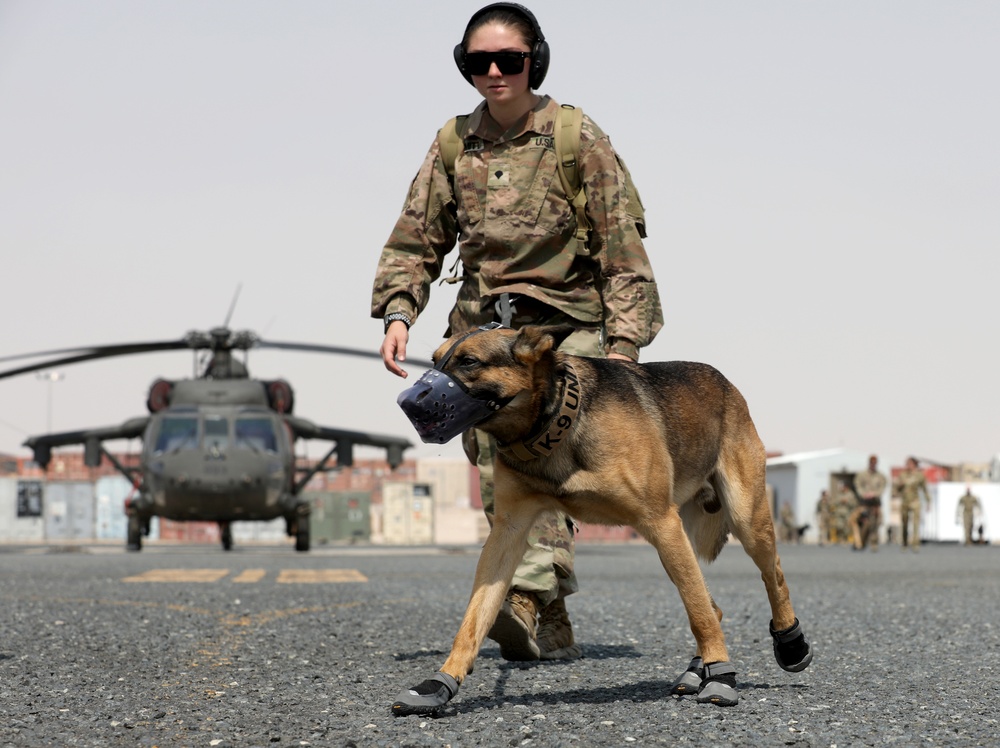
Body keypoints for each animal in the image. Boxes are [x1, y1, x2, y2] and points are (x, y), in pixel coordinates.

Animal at [390, 324, 812, 716]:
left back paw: (787, 644)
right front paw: (440, 683)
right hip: (685, 535)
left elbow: (696, 611)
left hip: (743, 518)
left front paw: (723, 674)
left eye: (469, 362)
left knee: (770, 575)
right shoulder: (507, 534)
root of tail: (725, 382)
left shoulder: (660, 522)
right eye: (434, 361)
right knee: (714, 604)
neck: (553, 424)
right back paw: (697, 670)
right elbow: (473, 617)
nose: (406, 404)